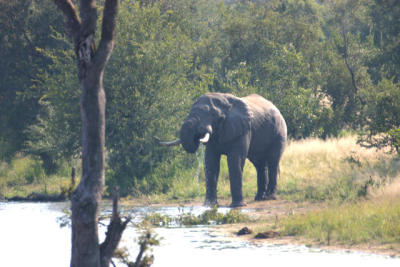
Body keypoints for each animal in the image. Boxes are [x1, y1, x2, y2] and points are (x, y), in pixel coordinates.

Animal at [159, 93, 288, 208]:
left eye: (212, 114)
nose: (198, 135)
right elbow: (211, 164)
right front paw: (209, 206)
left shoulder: (243, 129)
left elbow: (235, 162)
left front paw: (237, 206)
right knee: (260, 165)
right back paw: (260, 198)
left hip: (280, 132)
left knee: (273, 161)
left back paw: (270, 197)